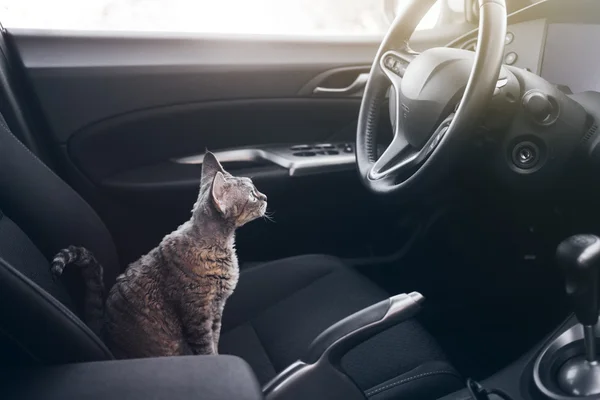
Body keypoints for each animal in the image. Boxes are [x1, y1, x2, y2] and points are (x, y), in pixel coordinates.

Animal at [50, 152, 266, 358]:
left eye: (256, 190)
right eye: (252, 196)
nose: (264, 197)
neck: (219, 246)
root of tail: (104, 337)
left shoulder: (216, 310)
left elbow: (215, 338)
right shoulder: (198, 316)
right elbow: (207, 347)